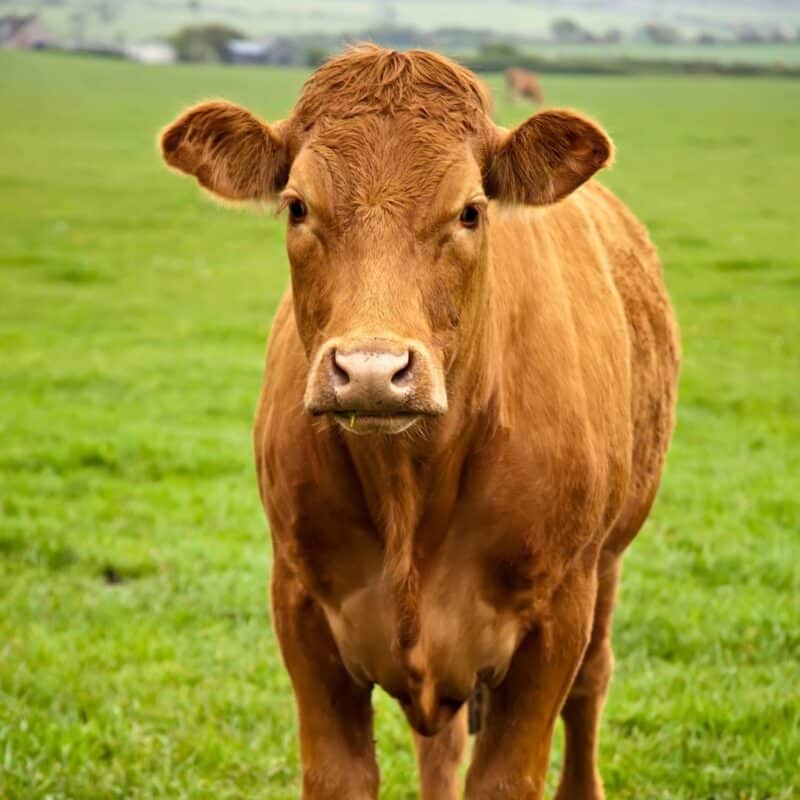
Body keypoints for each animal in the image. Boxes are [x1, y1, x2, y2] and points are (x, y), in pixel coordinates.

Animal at [160, 45, 679, 800]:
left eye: (470, 211)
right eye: (297, 206)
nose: (373, 371)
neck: (410, 486)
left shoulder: (557, 618)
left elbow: (511, 771)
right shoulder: (299, 604)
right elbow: (343, 774)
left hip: (606, 564)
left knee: (592, 686)